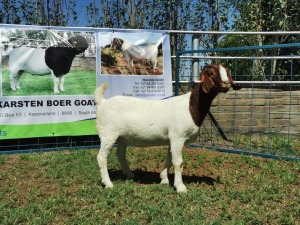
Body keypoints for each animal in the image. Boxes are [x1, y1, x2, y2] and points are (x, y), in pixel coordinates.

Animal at [94, 63, 241, 193]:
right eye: (211, 73)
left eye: (227, 72)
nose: (226, 84)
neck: (191, 107)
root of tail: (103, 103)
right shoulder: (178, 137)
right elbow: (178, 162)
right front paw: (180, 187)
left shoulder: (172, 138)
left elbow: (169, 159)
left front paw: (164, 179)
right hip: (108, 134)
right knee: (101, 157)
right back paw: (108, 183)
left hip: (122, 137)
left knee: (120, 154)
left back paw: (129, 174)